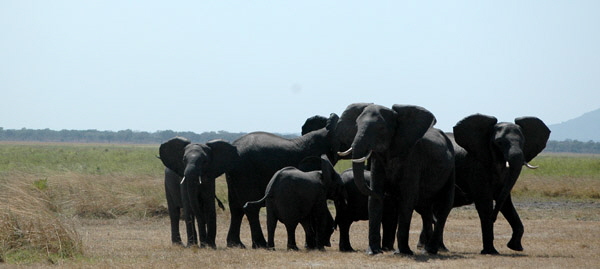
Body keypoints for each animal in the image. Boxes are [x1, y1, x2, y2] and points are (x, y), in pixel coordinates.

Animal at [338, 102, 454, 253]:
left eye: (381, 128)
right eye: (356, 125)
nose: (387, 193)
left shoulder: (413, 156)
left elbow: (407, 198)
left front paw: (403, 252)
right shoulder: (378, 159)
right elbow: (374, 197)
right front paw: (373, 252)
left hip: (452, 167)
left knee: (445, 204)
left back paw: (430, 250)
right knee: (426, 207)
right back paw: (425, 249)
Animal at [448, 113, 552, 253]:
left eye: (523, 142)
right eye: (499, 143)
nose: (494, 218)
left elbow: (505, 202)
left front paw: (515, 247)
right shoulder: (476, 166)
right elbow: (485, 203)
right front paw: (490, 252)